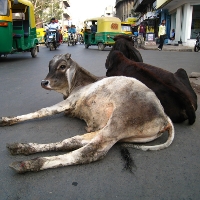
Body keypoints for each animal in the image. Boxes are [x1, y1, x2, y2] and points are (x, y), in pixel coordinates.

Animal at [0, 53, 174, 173]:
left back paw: (29, 163)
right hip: (111, 131)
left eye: (62, 66)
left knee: (88, 153)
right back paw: (23, 148)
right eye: (49, 66)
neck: (78, 83)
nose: (44, 82)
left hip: (118, 125)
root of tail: (164, 117)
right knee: (71, 142)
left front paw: (8, 119)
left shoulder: (70, 101)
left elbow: (43, 111)